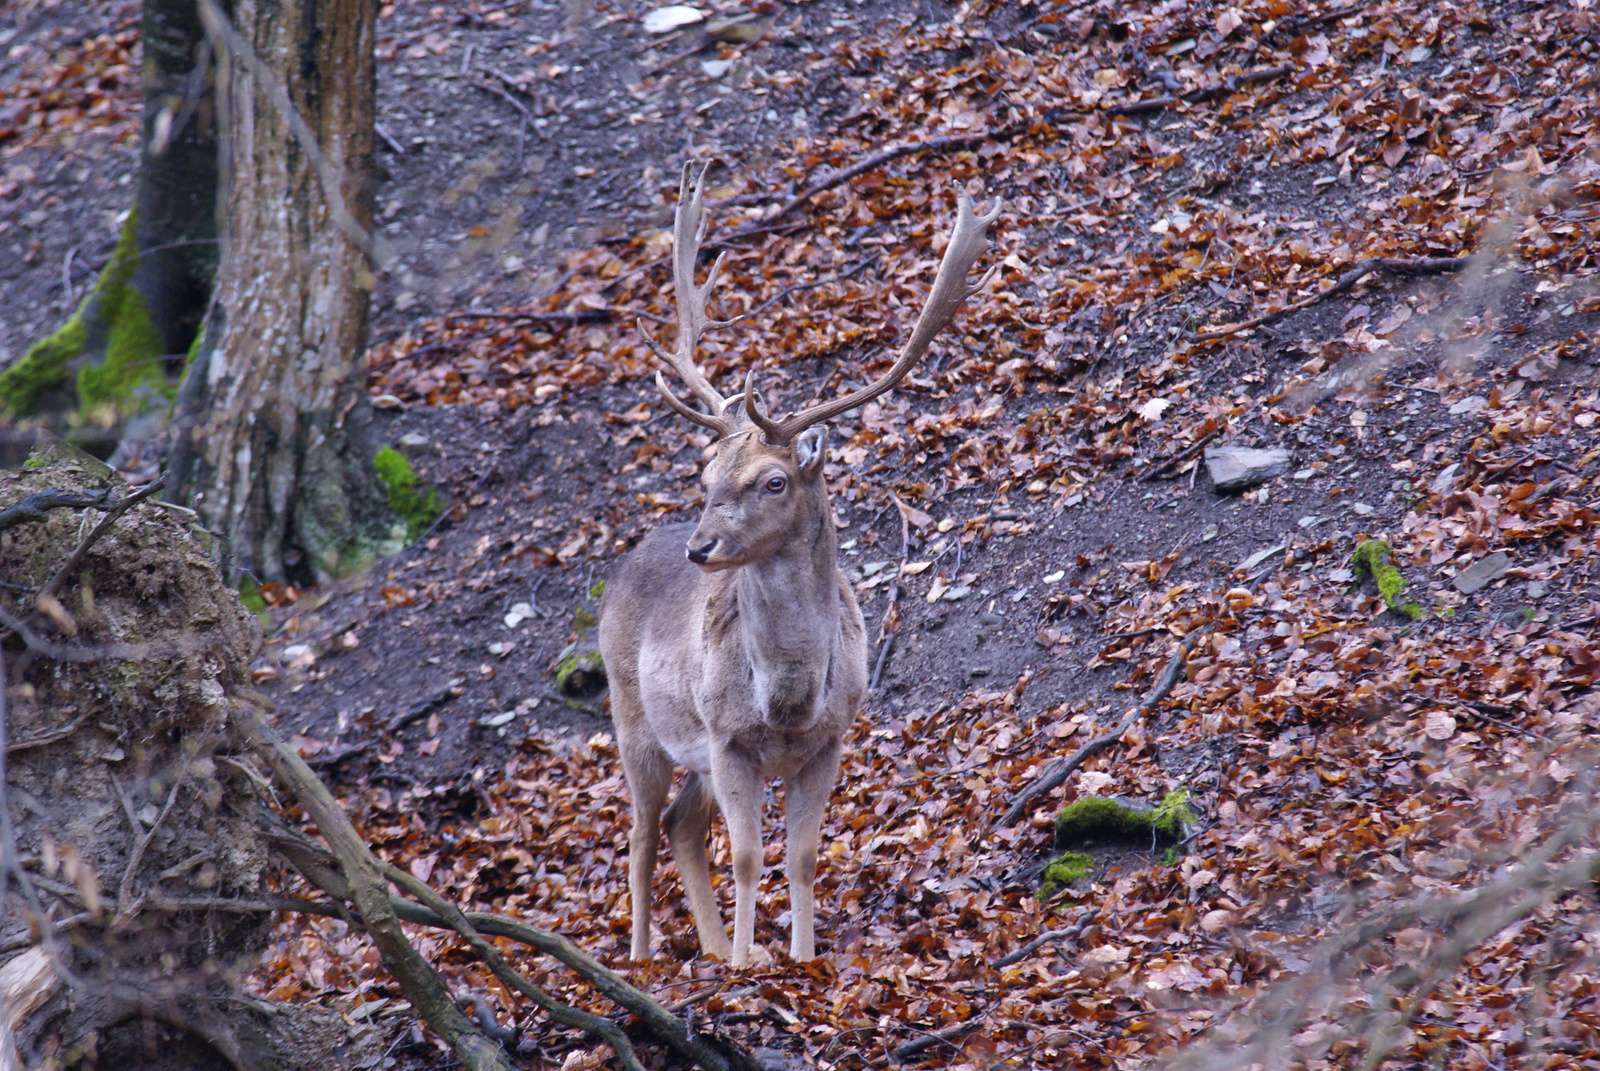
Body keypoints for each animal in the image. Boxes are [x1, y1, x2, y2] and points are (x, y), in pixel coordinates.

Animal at [601, 160, 998, 966]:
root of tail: (615, 575)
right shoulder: (728, 739)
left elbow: (806, 856)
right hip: (636, 721)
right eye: (706, 471)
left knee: (679, 827)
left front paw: (798, 959)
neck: (786, 699)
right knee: (638, 837)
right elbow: (751, 858)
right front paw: (749, 966)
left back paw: (710, 948)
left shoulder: (829, 740)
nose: (701, 546)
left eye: (773, 480)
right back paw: (643, 956)